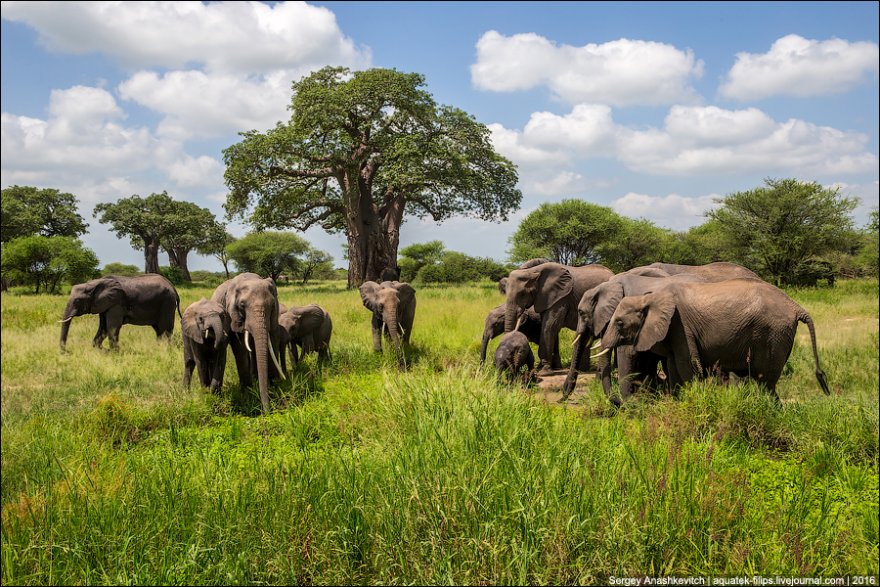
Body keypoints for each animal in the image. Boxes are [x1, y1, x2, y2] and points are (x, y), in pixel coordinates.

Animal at [211, 272, 286, 414]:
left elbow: (272, 338)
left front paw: (276, 385)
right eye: (241, 305)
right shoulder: (233, 315)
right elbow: (240, 346)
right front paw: (247, 393)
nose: (267, 412)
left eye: (272, 306)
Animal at [600, 280, 828, 400]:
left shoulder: (681, 326)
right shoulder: (675, 333)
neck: (649, 297)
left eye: (619, 323)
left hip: (774, 335)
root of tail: (795, 306)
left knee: (766, 383)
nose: (619, 403)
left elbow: (689, 368)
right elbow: (674, 369)